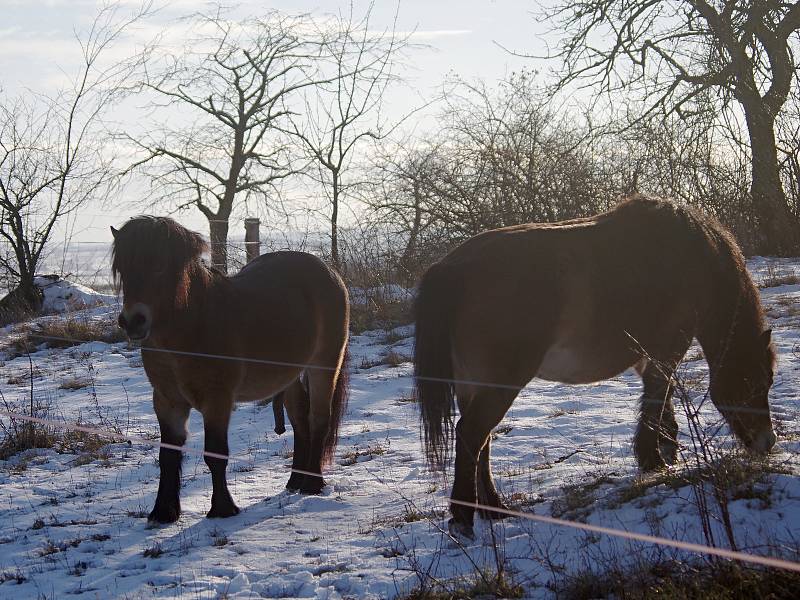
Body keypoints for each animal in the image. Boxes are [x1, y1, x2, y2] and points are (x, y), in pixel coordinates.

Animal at [111, 218, 348, 524]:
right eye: (122, 267)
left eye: (160, 265)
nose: (133, 321)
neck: (192, 328)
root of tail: (328, 271)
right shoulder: (166, 401)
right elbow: (168, 455)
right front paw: (163, 512)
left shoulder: (217, 400)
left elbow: (215, 454)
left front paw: (223, 509)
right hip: (290, 375)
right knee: (300, 421)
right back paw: (295, 480)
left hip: (324, 364)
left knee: (318, 419)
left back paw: (312, 484)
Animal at [416, 196, 780, 540]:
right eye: (755, 381)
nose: (767, 443)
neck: (693, 260)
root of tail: (452, 268)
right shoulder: (666, 350)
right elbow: (657, 397)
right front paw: (653, 460)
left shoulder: (647, 357)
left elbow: (662, 398)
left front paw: (665, 451)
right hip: (500, 384)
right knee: (472, 434)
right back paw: (464, 520)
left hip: (473, 386)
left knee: (482, 441)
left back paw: (494, 509)